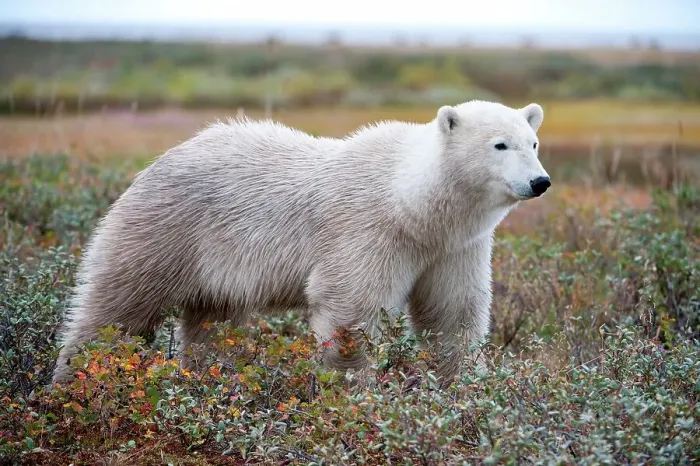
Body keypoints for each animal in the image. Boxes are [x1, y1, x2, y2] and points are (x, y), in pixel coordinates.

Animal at [51, 100, 551, 386]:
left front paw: (460, 389)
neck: (414, 206)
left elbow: (453, 314)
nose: (540, 181)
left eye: (533, 142)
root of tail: (163, 157)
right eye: (500, 145)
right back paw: (74, 379)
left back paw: (211, 377)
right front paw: (350, 395)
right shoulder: (368, 229)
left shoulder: (455, 247)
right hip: (168, 228)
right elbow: (351, 311)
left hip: (213, 261)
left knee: (213, 321)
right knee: (118, 305)